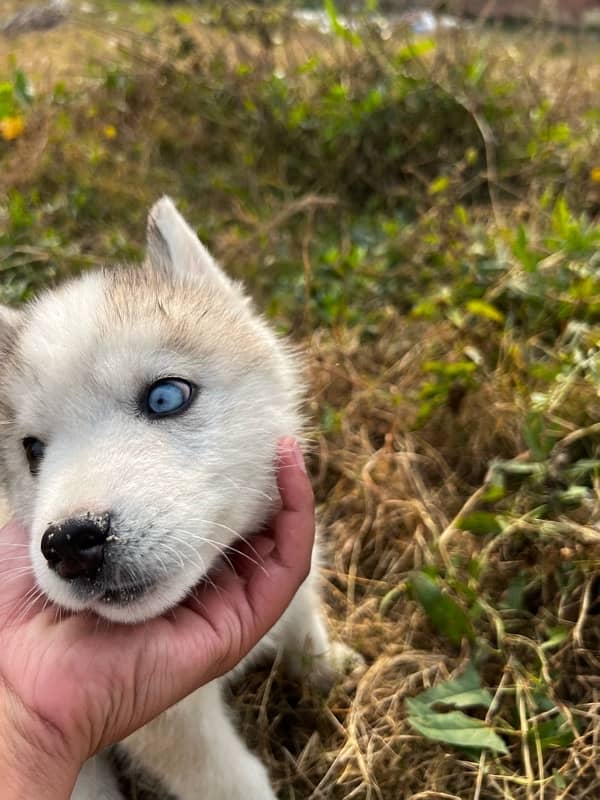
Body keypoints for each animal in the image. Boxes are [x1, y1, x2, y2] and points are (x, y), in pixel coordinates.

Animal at [0, 197, 356, 796]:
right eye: (33, 450)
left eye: (166, 397)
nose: (69, 542)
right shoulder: (175, 727)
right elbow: (232, 780)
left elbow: (302, 617)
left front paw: (326, 666)